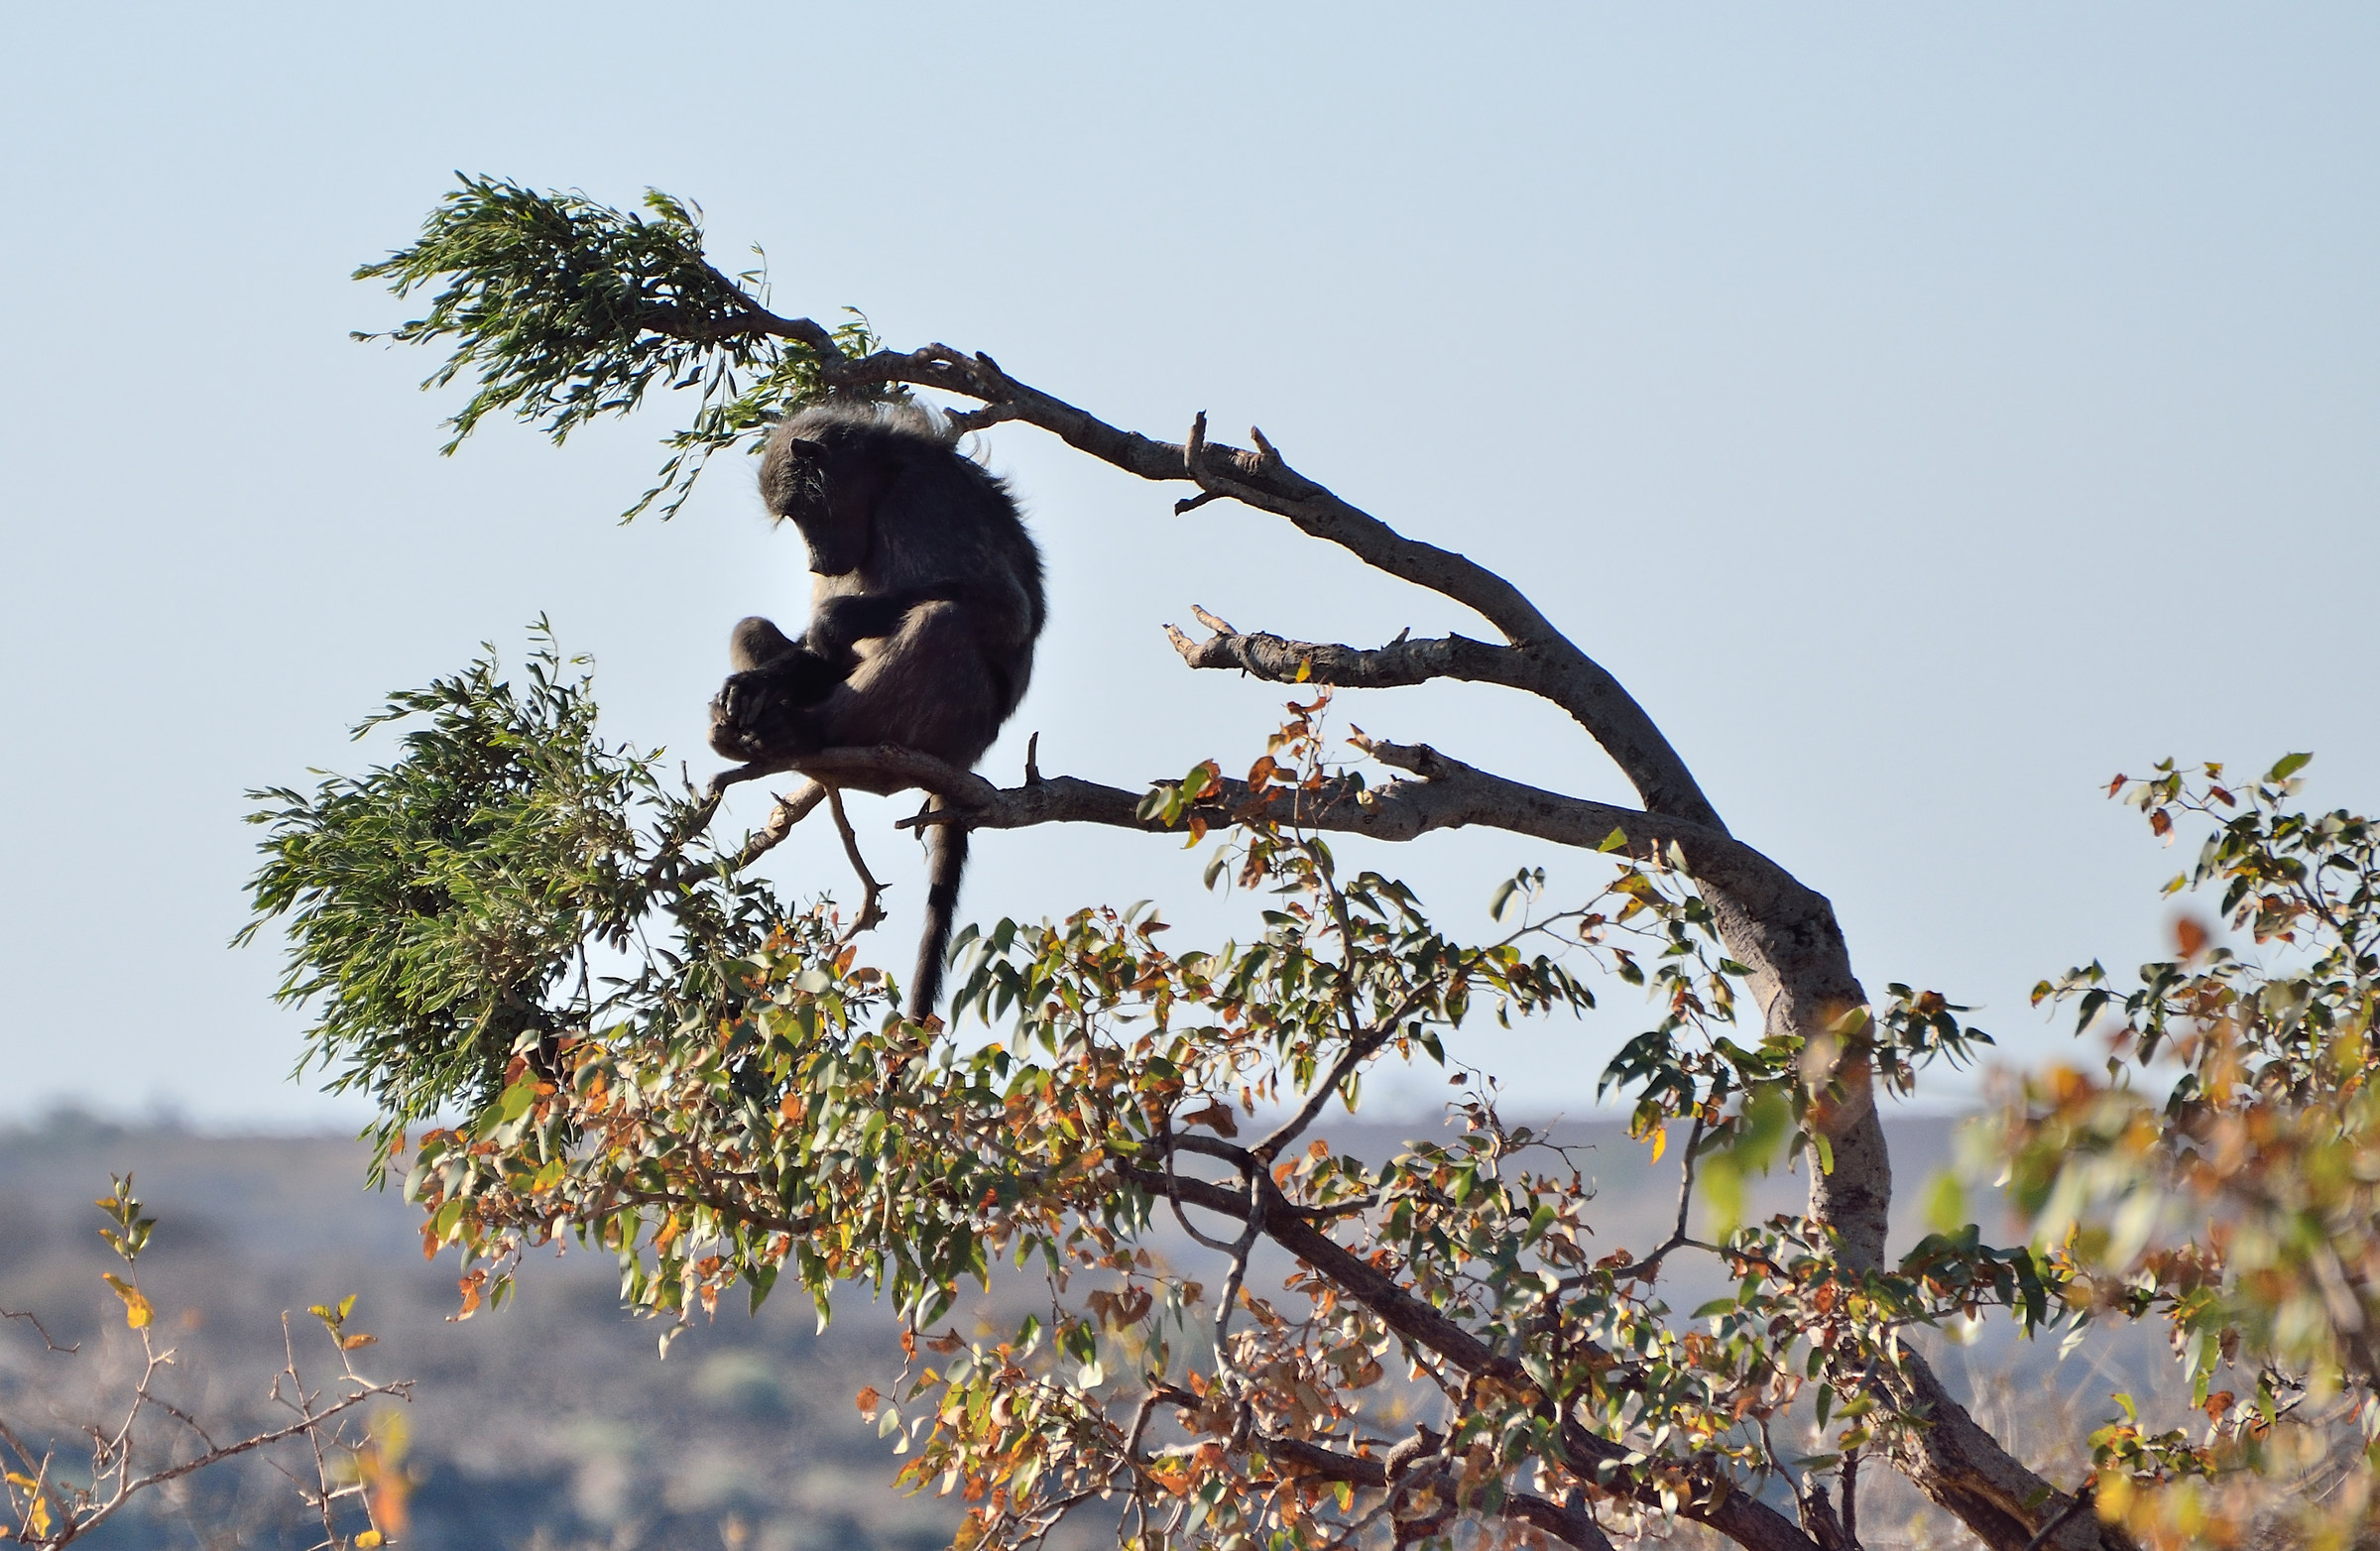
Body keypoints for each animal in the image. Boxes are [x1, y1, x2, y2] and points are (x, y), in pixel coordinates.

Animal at [709, 401, 1045, 1021]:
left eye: (802, 513)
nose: (815, 564)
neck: (884, 476)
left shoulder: (925, 498)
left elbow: (1007, 611)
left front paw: (834, 622)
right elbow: (813, 655)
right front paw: (757, 684)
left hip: (956, 732)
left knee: (942, 620)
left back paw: (800, 732)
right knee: (754, 629)